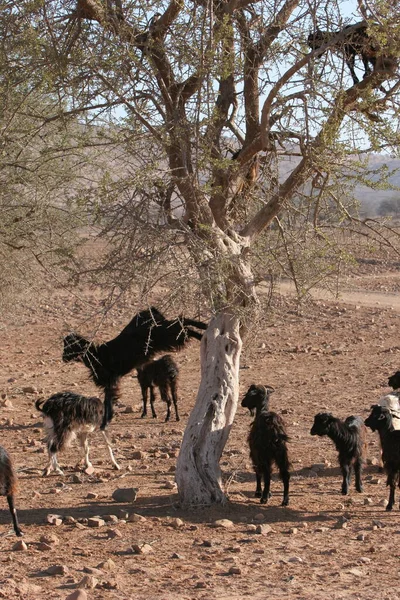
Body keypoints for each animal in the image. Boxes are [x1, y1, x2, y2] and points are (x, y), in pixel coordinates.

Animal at [63, 308, 206, 428]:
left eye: (68, 346)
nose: (63, 358)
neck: (97, 355)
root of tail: (150, 311)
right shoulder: (111, 382)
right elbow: (108, 399)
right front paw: (107, 420)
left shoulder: (111, 381)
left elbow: (108, 400)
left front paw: (105, 423)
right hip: (165, 335)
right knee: (182, 324)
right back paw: (202, 331)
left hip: (164, 334)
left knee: (182, 323)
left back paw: (202, 330)